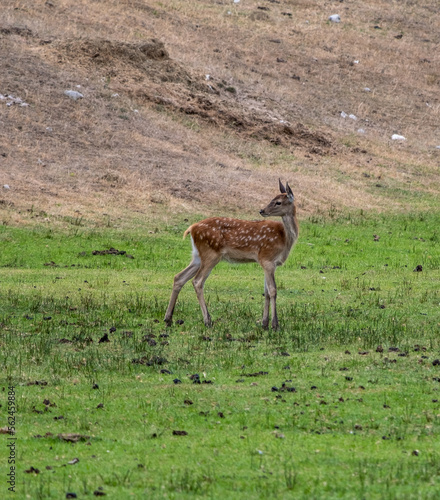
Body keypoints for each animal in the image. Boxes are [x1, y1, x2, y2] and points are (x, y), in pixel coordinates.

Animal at [165, 181, 300, 332]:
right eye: (274, 200)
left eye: (278, 202)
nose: (262, 210)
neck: (285, 239)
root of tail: (191, 228)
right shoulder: (267, 259)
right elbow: (273, 291)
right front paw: (275, 325)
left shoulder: (267, 262)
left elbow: (266, 292)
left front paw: (264, 324)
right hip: (211, 254)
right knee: (197, 281)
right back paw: (208, 321)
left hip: (197, 256)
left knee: (179, 277)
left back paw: (168, 319)